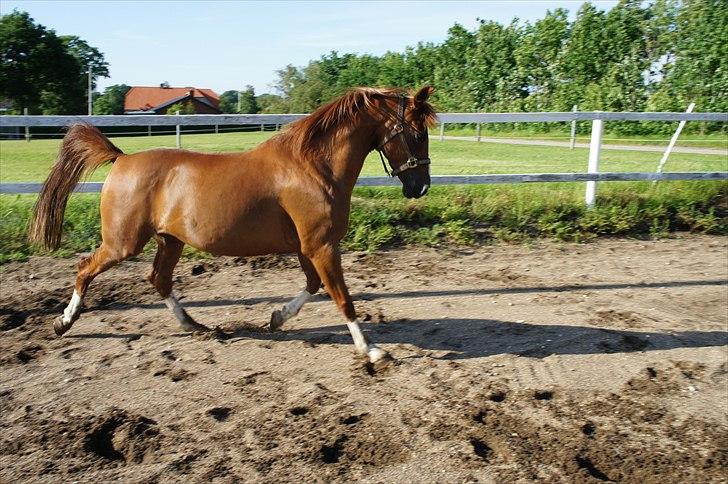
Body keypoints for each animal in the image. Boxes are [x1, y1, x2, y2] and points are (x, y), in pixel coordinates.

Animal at [31, 86, 436, 364]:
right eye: (418, 134)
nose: (421, 187)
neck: (313, 168)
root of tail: (122, 158)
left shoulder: (308, 247)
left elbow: (313, 286)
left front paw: (276, 318)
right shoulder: (320, 246)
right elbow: (343, 298)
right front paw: (372, 351)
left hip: (169, 240)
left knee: (158, 279)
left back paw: (195, 326)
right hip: (122, 243)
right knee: (85, 268)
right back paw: (64, 322)